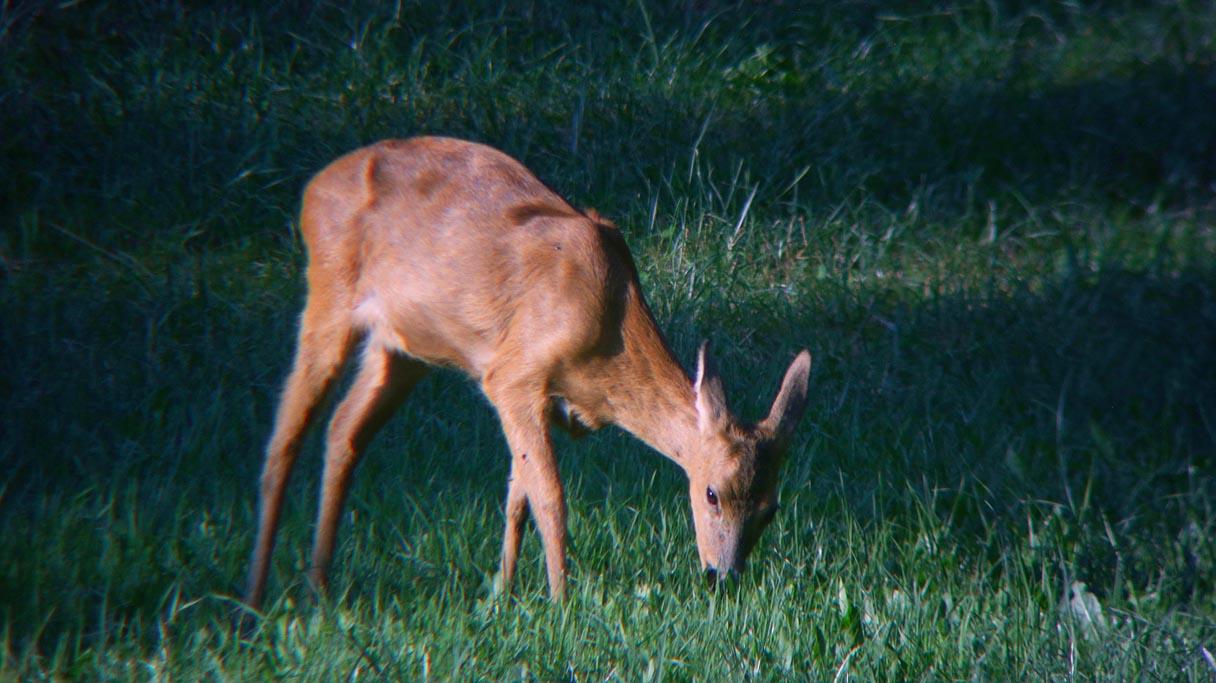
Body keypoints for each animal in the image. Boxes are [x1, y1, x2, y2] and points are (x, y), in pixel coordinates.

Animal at [241, 134, 812, 605]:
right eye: (711, 492)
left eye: (771, 507)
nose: (722, 576)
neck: (608, 327)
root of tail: (313, 188)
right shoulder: (514, 377)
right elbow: (550, 498)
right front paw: (561, 604)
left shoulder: (543, 400)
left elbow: (518, 494)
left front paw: (504, 592)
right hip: (329, 297)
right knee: (283, 438)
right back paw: (254, 598)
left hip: (401, 351)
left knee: (343, 430)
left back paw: (318, 586)